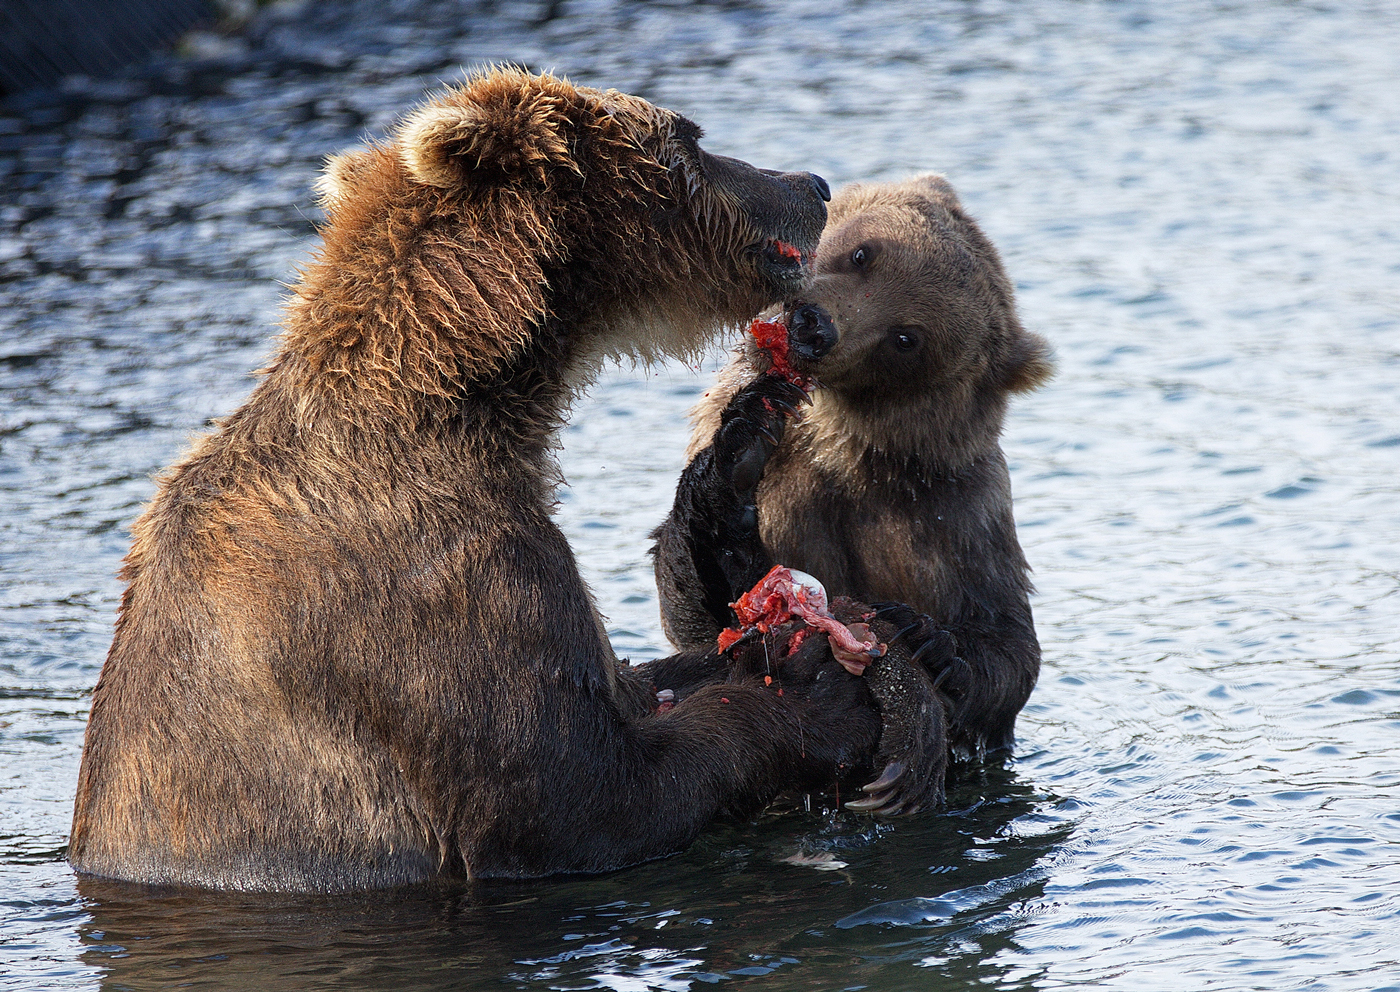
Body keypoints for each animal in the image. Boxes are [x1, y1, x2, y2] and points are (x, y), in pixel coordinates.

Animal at [71, 69, 879, 889]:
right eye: (689, 135)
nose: (812, 184)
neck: (464, 404)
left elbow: (636, 685)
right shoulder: (443, 587)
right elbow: (576, 799)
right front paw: (819, 694)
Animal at [652, 174, 1052, 811]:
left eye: (906, 337)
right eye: (865, 253)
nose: (815, 326)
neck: (845, 451)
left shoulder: (964, 511)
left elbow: (1010, 642)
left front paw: (929, 642)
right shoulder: (785, 480)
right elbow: (699, 614)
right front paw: (738, 454)